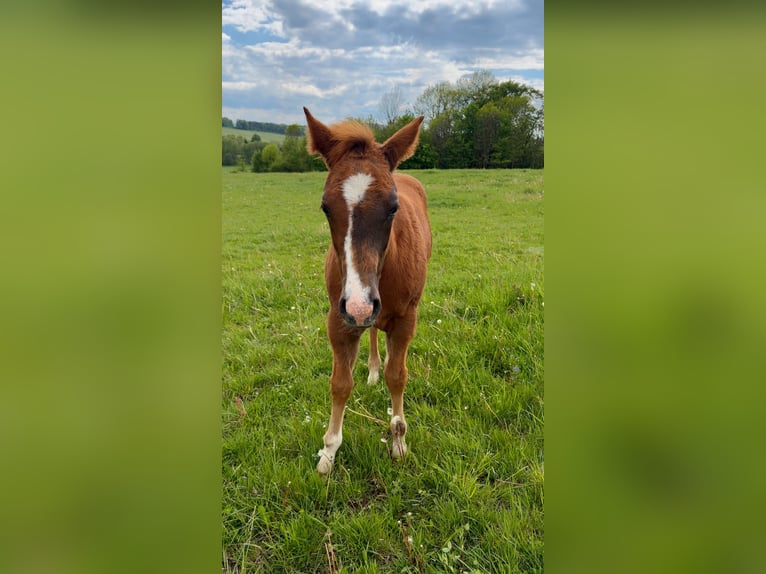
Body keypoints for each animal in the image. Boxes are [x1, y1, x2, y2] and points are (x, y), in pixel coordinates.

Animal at [303, 107, 432, 474]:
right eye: (325, 207)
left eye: (393, 207)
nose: (360, 305)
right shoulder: (338, 318)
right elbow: (340, 384)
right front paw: (328, 454)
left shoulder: (405, 318)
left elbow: (398, 375)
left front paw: (399, 441)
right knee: (373, 330)